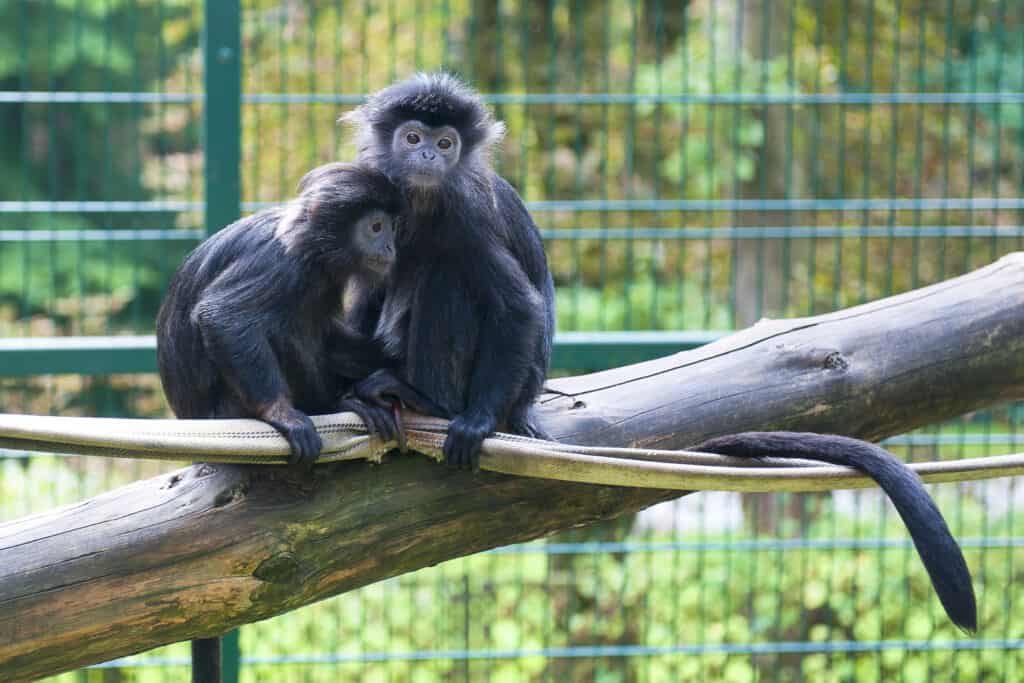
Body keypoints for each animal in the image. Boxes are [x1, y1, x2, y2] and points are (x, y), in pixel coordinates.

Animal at [344, 72, 974, 634]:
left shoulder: (466, 212)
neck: (423, 201)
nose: (429, 156)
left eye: (446, 143)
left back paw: (428, 399)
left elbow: (517, 308)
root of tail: (525, 406)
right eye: (413, 138)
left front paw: (473, 423)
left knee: (447, 276)